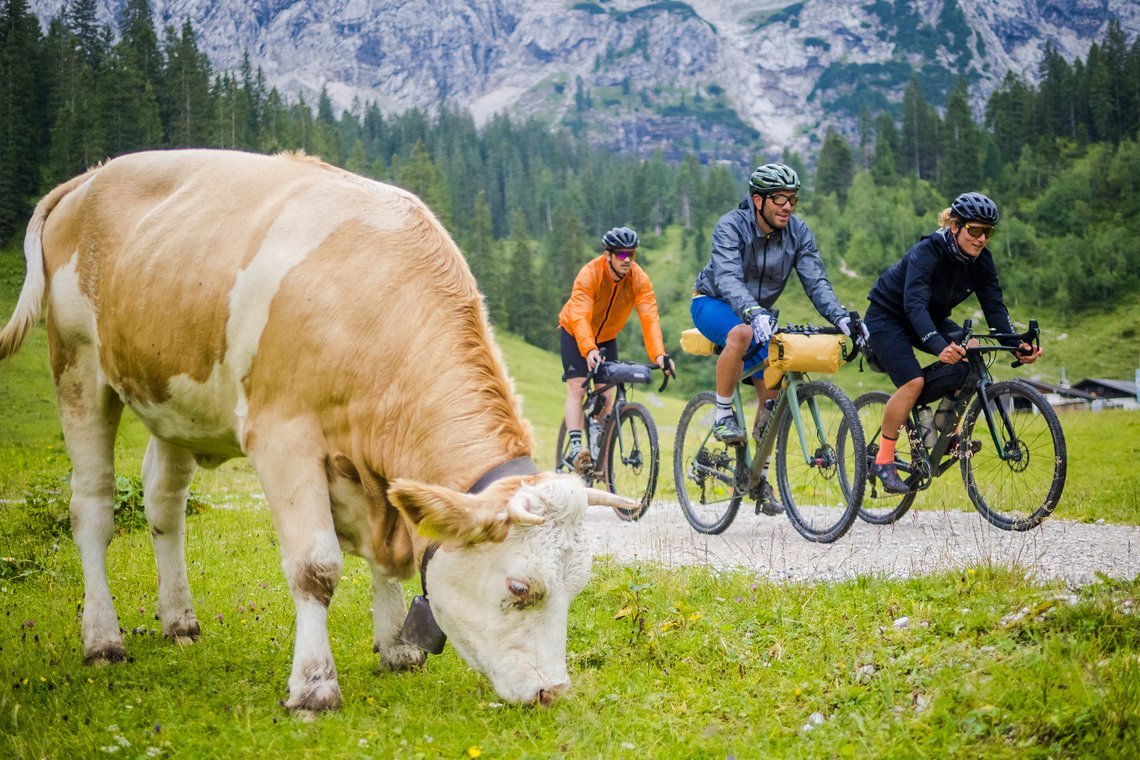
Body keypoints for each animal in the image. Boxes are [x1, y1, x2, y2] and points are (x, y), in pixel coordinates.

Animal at [0, 150, 633, 715]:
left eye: (577, 587)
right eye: (520, 588)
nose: (553, 692)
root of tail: (89, 177)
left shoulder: (373, 474)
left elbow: (384, 561)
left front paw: (396, 648)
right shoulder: (284, 437)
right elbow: (316, 567)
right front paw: (313, 688)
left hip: (172, 398)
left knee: (163, 502)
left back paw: (179, 619)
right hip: (78, 366)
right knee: (93, 506)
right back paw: (103, 639)